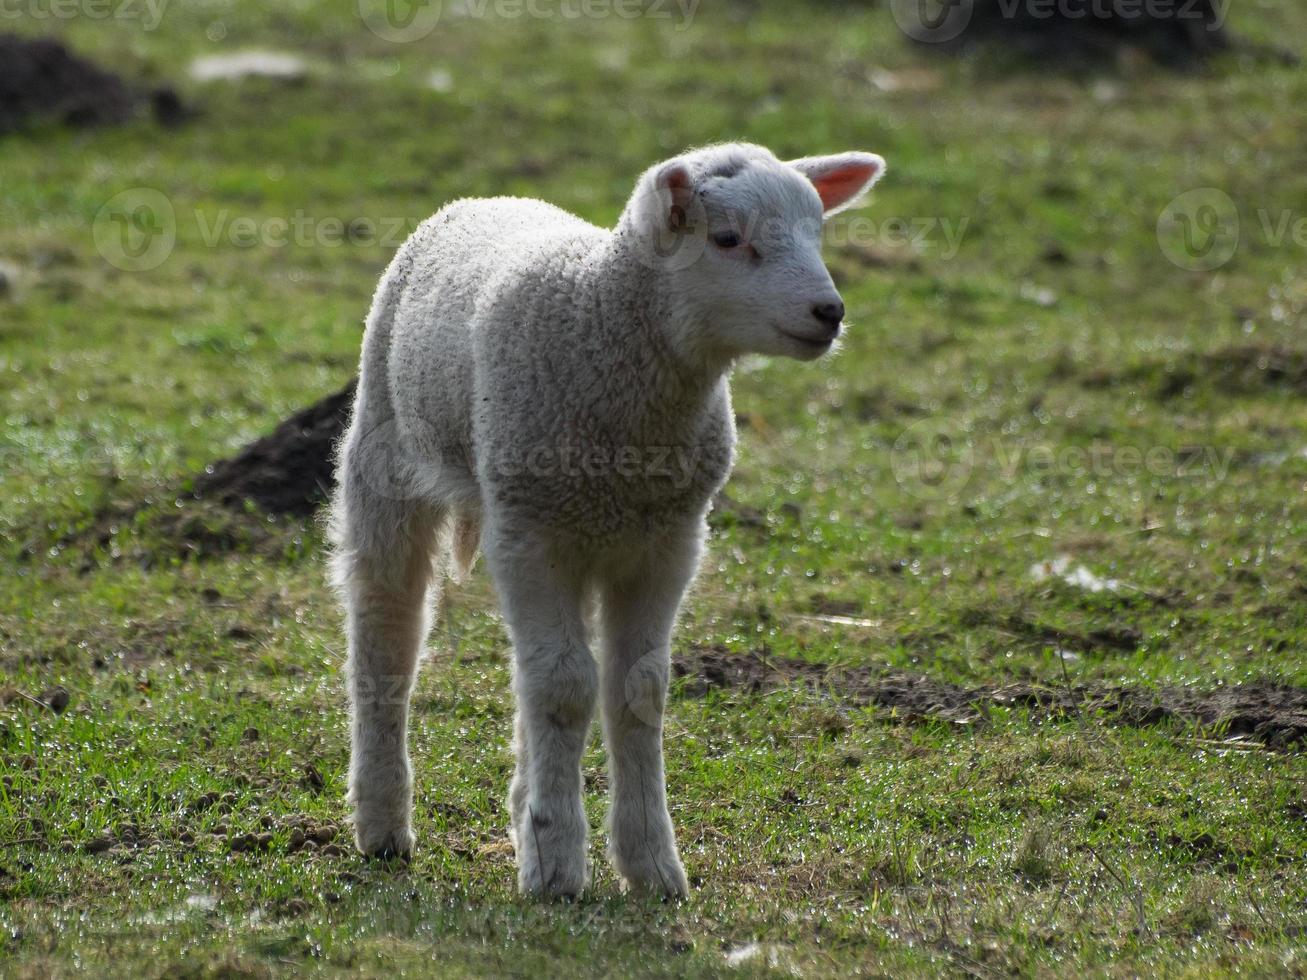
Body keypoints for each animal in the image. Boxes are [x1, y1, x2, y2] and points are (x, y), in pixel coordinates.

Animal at [329, 141, 888, 904]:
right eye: (726, 239)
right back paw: (383, 822)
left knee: (522, 671)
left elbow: (636, 691)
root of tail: (486, 199)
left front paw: (651, 865)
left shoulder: (669, 541)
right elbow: (565, 689)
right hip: (387, 457)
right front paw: (558, 867)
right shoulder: (532, 534)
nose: (828, 311)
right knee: (387, 631)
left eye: (816, 231)